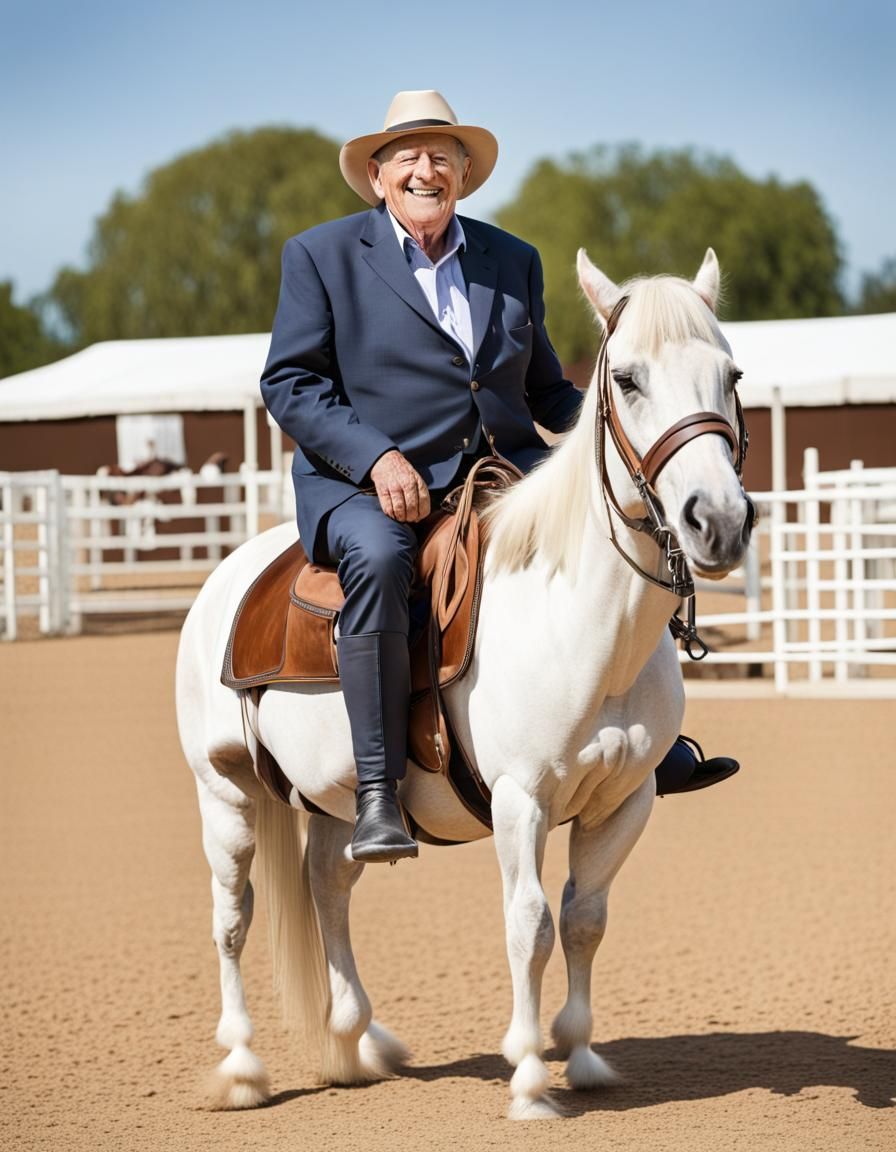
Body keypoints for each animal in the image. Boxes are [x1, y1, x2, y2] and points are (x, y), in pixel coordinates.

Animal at [175, 247, 753, 1119]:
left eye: (732, 373)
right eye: (626, 379)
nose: (717, 521)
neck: (581, 628)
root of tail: (231, 578)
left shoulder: (625, 802)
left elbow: (585, 919)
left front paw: (582, 1054)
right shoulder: (522, 800)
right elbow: (531, 924)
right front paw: (528, 1075)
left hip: (342, 803)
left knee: (326, 887)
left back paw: (358, 1039)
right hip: (227, 795)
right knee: (231, 917)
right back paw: (243, 1067)